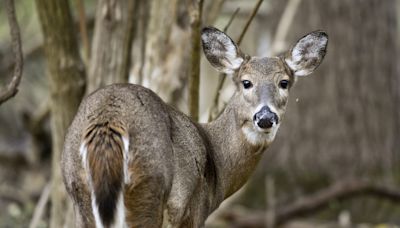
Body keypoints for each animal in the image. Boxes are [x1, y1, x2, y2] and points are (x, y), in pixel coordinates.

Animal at [61, 25, 326, 227]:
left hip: (79, 193)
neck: (217, 161)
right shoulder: (192, 211)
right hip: (148, 187)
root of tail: (108, 121)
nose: (265, 117)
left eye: (284, 82)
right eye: (246, 82)